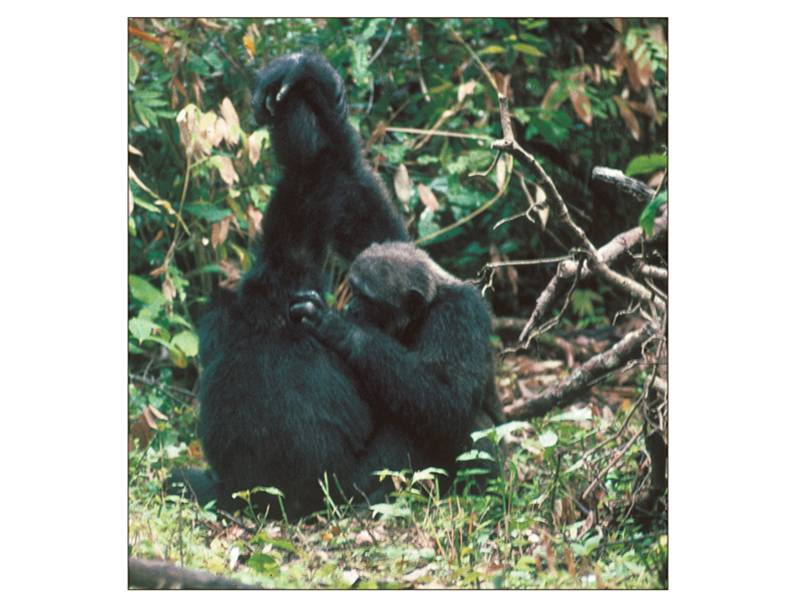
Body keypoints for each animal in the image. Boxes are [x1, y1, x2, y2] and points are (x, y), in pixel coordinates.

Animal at [288, 242, 502, 486]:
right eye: (354, 290)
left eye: (368, 299)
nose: (351, 307)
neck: (424, 312)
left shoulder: (460, 314)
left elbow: (452, 399)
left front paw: (341, 328)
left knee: (474, 423)